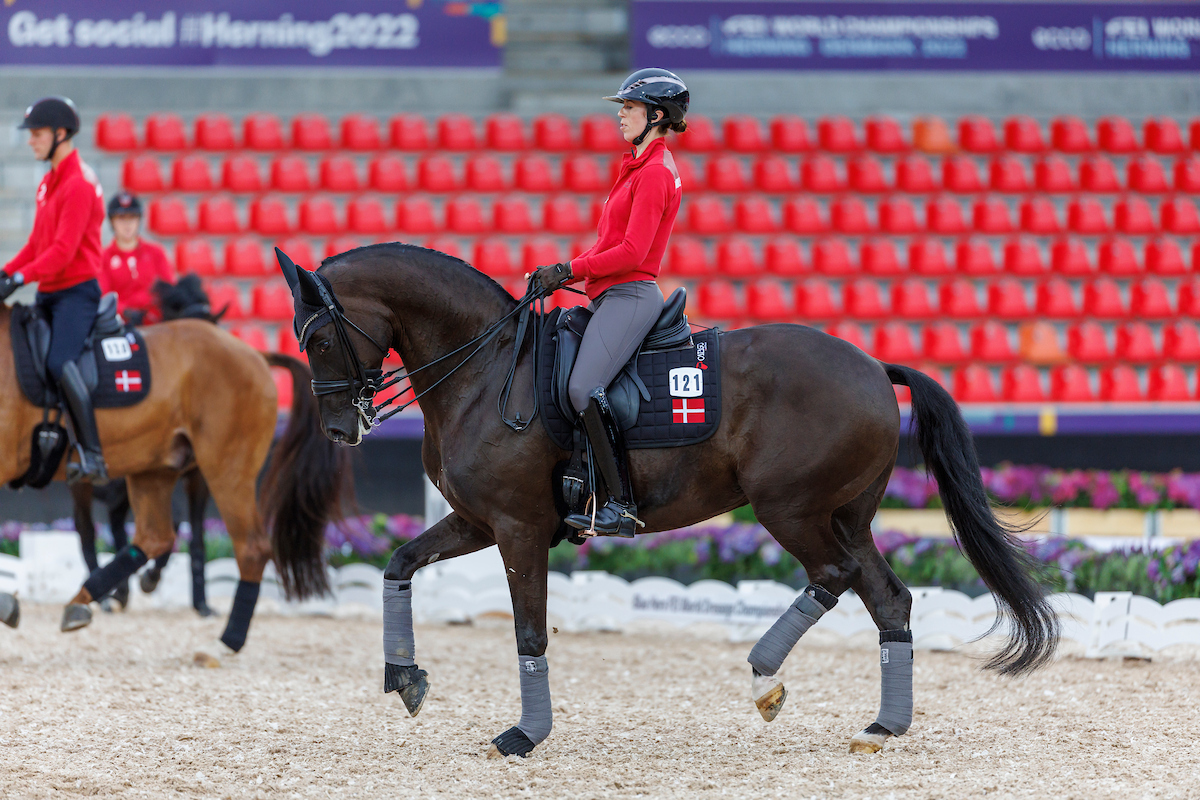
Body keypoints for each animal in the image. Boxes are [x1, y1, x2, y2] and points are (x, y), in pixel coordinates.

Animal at [0, 292, 350, 656]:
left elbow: (195, 536)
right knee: (144, 536)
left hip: (227, 471)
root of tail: (254, 353)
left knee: (249, 547)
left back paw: (226, 642)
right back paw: (88, 600)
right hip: (152, 471)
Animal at [273, 242, 1059, 757]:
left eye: (318, 338)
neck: (486, 367)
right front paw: (404, 676)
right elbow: (398, 564)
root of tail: (871, 364)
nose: (342, 429)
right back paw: (882, 725)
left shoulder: (517, 527)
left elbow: (529, 631)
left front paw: (526, 733)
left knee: (832, 577)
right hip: (846, 514)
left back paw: (764, 681)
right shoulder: (474, 521)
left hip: (792, 509)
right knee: (887, 598)